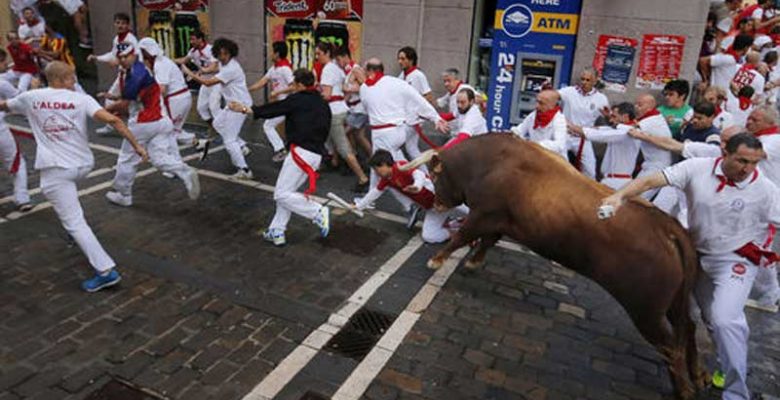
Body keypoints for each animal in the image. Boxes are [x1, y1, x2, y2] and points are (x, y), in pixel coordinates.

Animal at [406, 134, 704, 400]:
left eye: (434, 176)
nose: (437, 203)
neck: (488, 162)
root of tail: (668, 227)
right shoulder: (499, 221)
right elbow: (487, 241)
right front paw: (472, 261)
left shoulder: (483, 215)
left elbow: (461, 236)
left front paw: (436, 259)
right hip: (674, 303)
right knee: (688, 327)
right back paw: (697, 376)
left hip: (646, 312)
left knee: (671, 347)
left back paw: (685, 390)